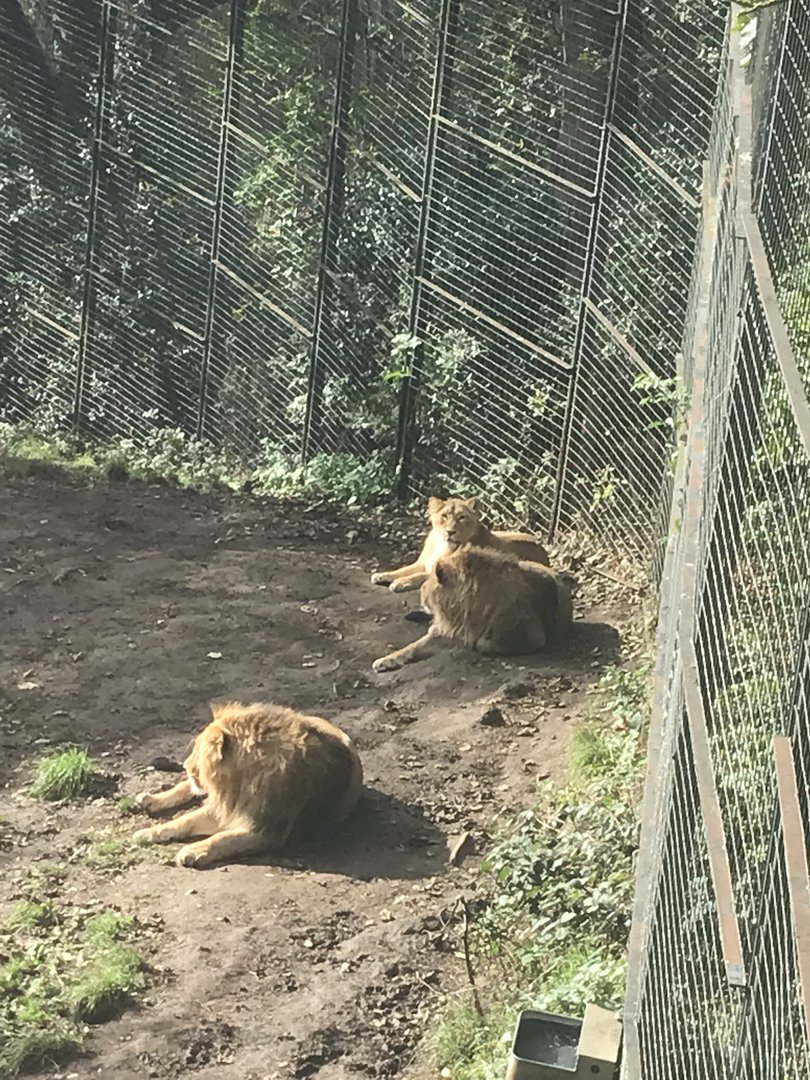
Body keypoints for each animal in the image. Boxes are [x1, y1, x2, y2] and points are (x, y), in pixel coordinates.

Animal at [132, 702, 363, 868]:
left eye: (198, 749)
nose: (186, 765)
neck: (241, 783)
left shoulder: (265, 831)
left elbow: (222, 838)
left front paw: (193, 850)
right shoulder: (228, 807)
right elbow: (184, 820)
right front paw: (148, 833)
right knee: (188, 788)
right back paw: (150, 799)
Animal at [370, 496, 550, 593]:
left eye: (462, 517)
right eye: (444, 516)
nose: (450, 531)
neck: (442, 545)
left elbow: (419, 576)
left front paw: (400, 583)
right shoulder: (423, 563)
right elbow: (403, 569)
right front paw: (382, 575)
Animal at [372, 545, 572, 672]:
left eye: (426, 594)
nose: (423, 599)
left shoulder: (534, 637)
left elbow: (484, 643)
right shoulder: (444, 628)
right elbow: (413, 645)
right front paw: (385, 660)